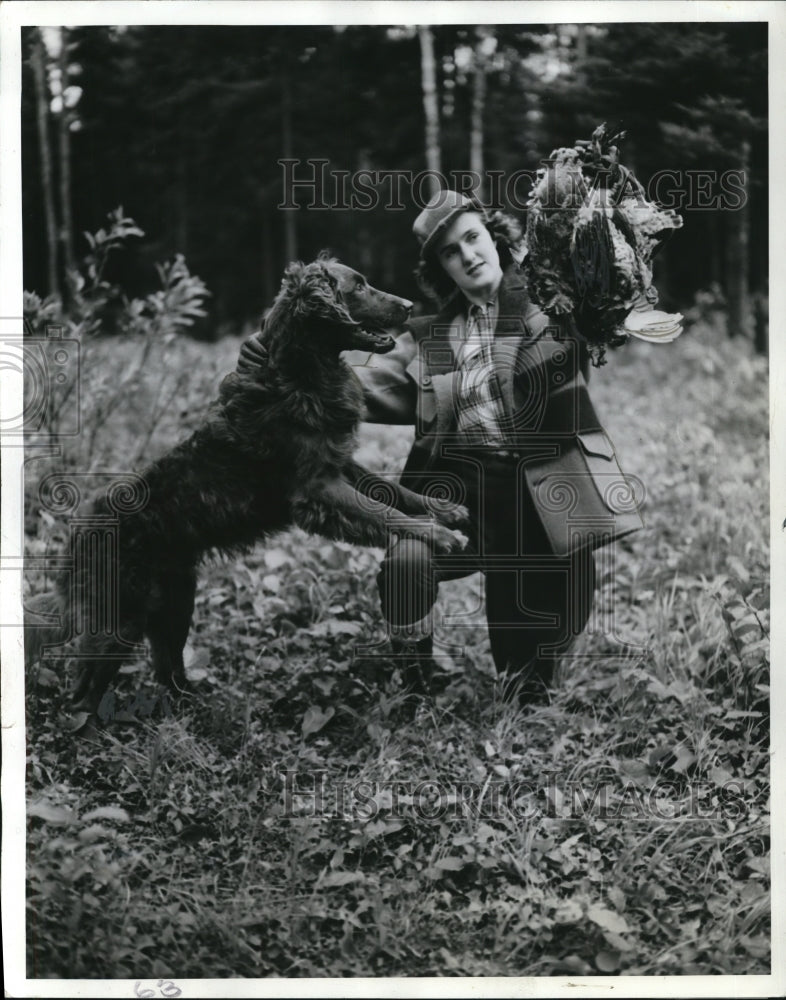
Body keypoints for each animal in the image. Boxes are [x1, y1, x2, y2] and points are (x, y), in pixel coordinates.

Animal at [24, 254, 468, 716]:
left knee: (167, 670)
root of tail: (77, 534)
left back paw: (194, 710)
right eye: (359, 286)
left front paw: (443, 509)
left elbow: (391, 491)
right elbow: (383, 511)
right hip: (119, 619)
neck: (300, 373)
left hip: (174, 602)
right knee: (82, 694)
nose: (410, 304)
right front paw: (440, 534)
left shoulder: (338, 462)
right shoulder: (318, 488)